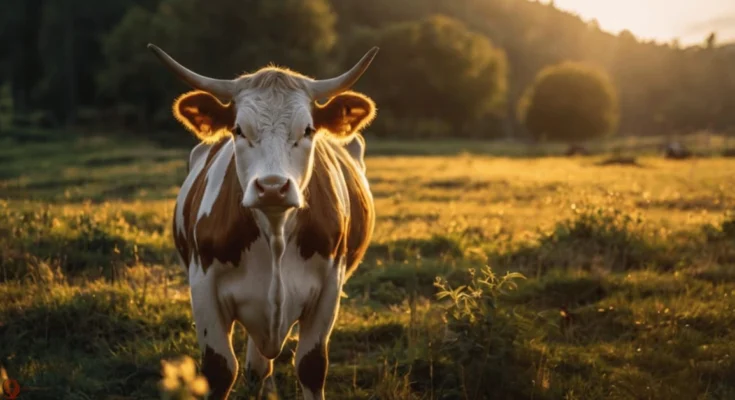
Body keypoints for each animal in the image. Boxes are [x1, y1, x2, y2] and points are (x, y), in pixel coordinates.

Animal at [147, 43, 379, 399]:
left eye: (307, 130)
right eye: (239, 130)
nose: (272, 187)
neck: (275, 234)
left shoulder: (330, 287)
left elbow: (311, 366)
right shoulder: (202, 286)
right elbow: (220, 369)